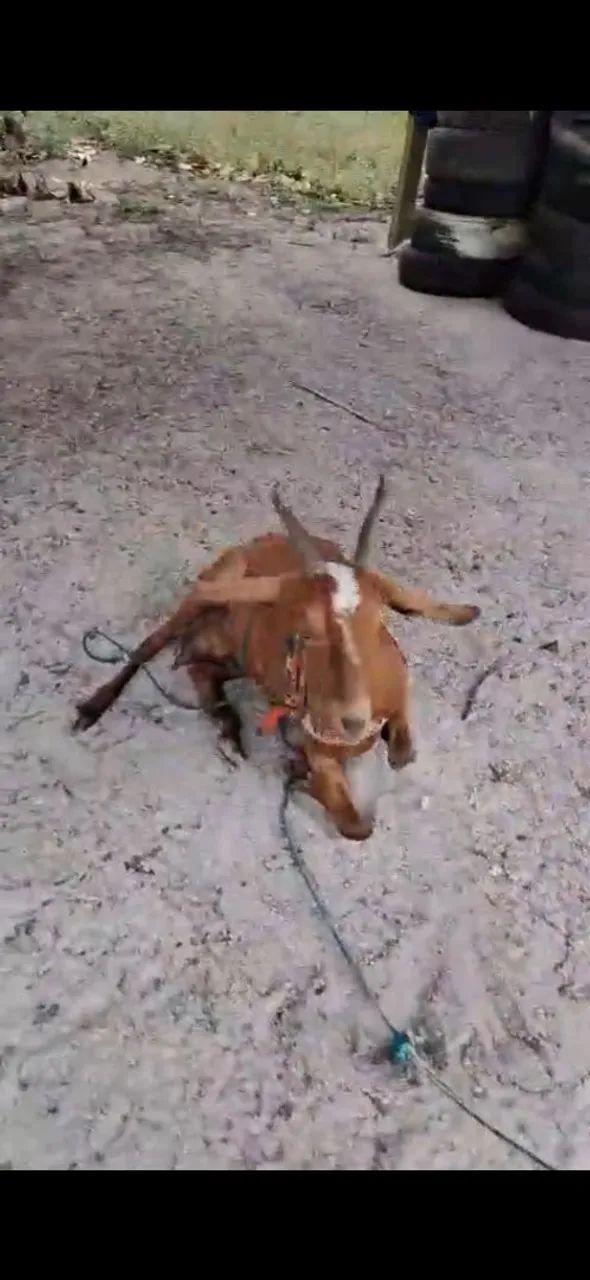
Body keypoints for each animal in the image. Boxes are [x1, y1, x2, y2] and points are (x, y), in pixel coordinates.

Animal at [74, 478, 479, 841]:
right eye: (305, 629)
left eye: (381, 621)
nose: (351, 720)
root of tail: (261, 540)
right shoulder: (321, 754)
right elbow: (356, 827)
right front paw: (298, 775)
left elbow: (402, 753)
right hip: (210, 591)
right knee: (153, 644)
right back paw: (94, 709)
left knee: (199, 666)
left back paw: (226, 722)